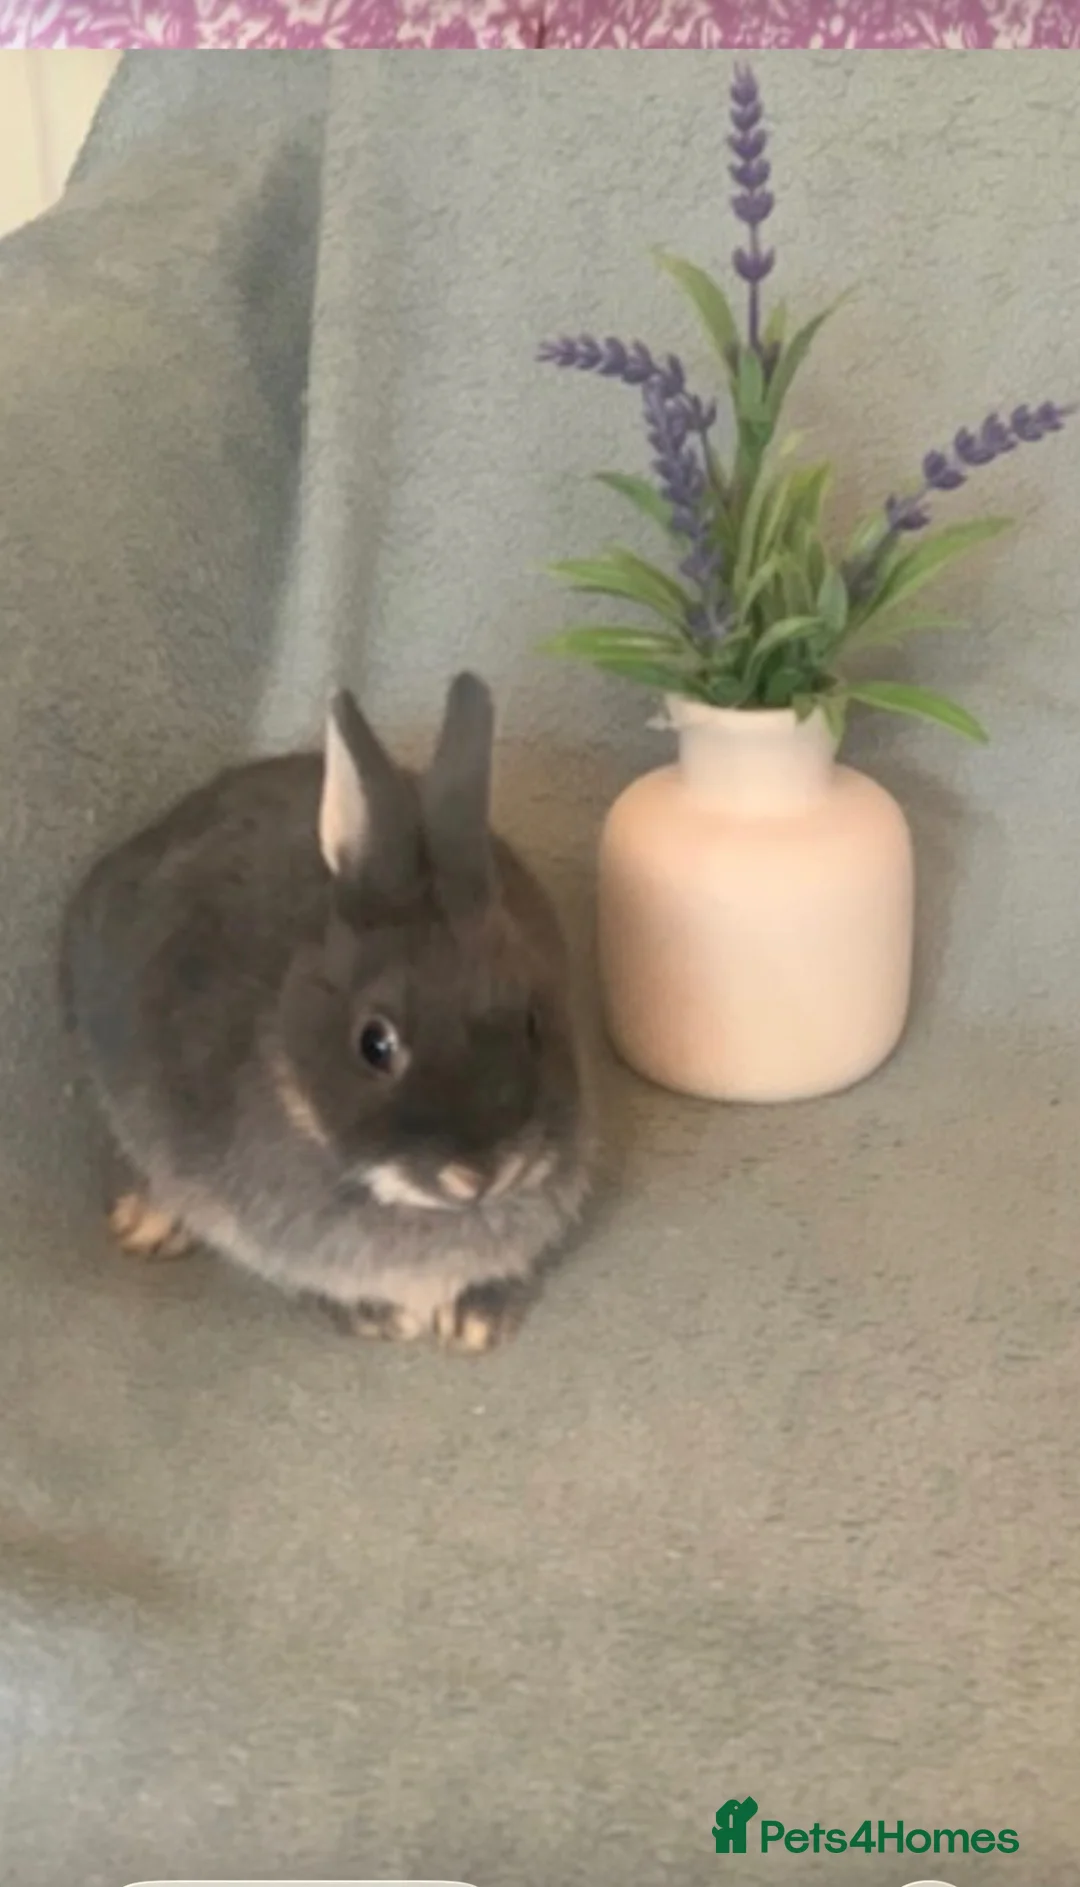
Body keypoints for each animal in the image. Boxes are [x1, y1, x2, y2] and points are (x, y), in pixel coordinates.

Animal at [62, 673, 594, 1352]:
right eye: (374, 1044)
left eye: (531, 1022)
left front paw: (476, 1321)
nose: (477, 1175)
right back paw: (145, 1223)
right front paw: (381, 1319)